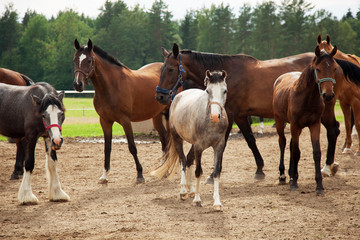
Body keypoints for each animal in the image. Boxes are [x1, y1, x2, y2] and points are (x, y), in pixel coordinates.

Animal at [73, 39, 169, 183]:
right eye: (74, 60)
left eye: (89, 61)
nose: (78, 85)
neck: (112, 86)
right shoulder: (105, 121)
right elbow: (107, 148)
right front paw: (104, 175)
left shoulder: (125, 120)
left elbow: (132, 147)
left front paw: (140, 175)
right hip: (156, 116)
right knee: (164, 139)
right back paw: (164, 170)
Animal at [274, 46, 338, 194]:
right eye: (318, 69)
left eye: (334, 69)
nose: (328, 95)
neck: (306, 98)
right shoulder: (295, 125)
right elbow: (296, 152)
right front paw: (294, 183)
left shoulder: (314, 125)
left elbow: (316, 152)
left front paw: (319, 185)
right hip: (280, 122)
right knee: (282, 143)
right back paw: (283, 176)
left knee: (291, 145)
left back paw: (291, 175)